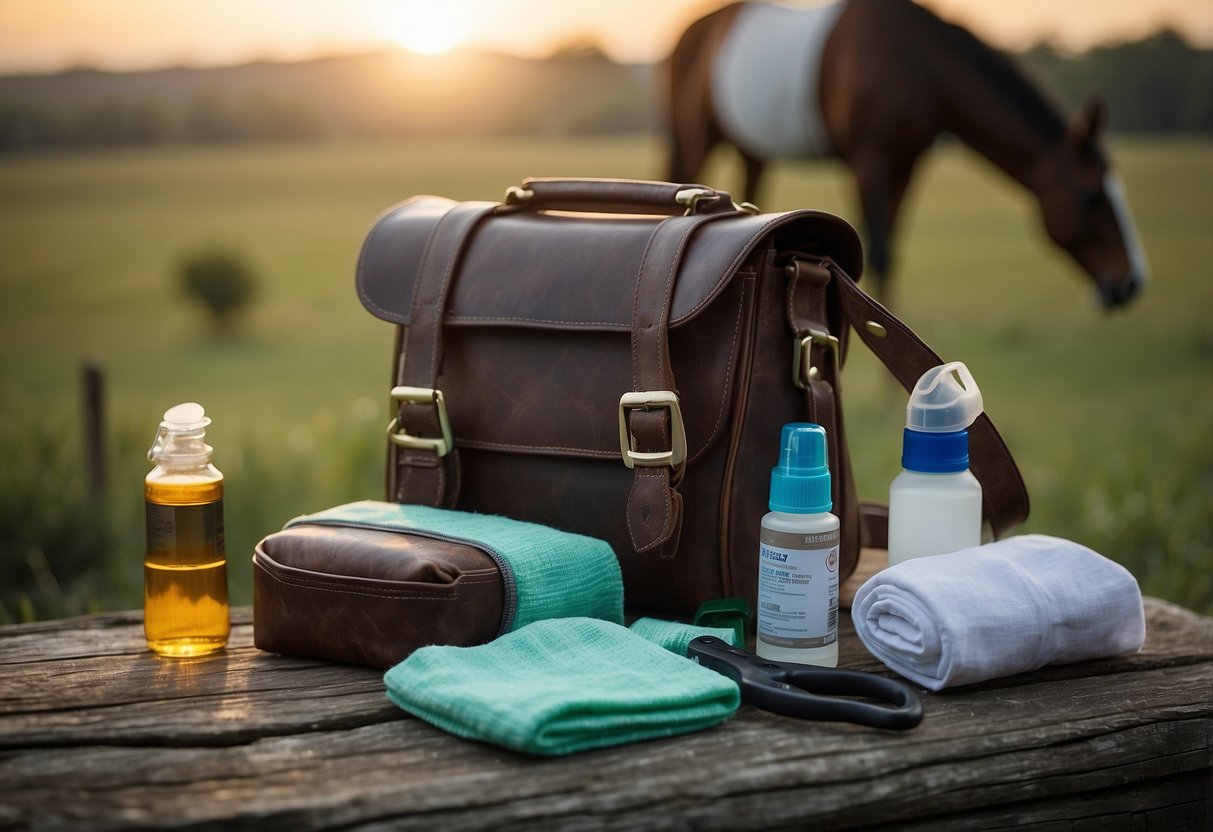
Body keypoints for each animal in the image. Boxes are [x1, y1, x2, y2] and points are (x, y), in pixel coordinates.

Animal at [669, 0, 1149, 310]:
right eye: (1091, 196)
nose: (1130, 282)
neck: (918, 62)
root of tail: (689, 32)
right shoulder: (870, 160)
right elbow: (877, 255)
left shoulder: (906, 164)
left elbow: (891, 255)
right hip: (696, 139)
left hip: (751, 148)